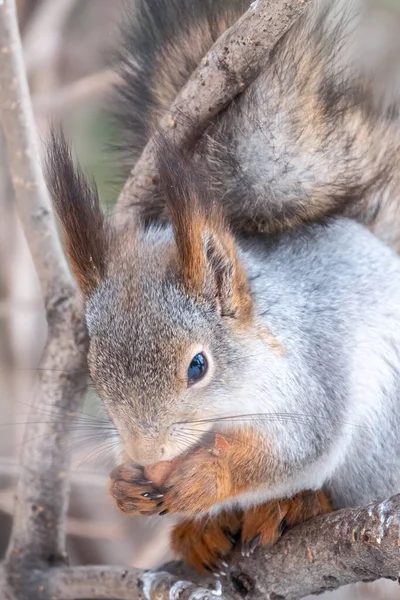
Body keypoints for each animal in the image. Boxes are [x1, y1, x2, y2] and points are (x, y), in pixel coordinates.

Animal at [45, 0, 400, 576]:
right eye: (94, 371)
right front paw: (123, 483)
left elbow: (293, 449)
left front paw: (206, 476)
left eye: (198, 366)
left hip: (379, 444)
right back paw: (202, 532)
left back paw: (294, 504)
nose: (148, 455)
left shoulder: (312, 380)